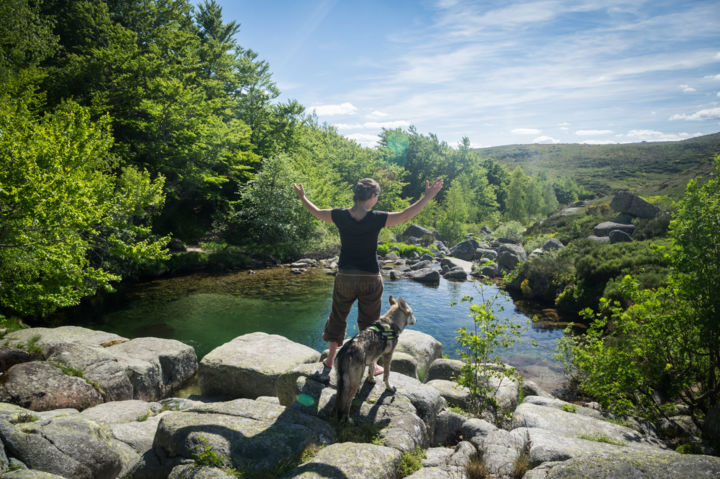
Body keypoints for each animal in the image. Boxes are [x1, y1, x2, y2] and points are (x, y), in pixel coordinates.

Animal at [332, 294, 416, 422]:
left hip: (341, 382)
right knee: (347, 402)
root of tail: (346, 352)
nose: (416, 319)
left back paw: (334, 415)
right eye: (411, 313)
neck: (391, 322)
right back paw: (348, 419)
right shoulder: (388, 355)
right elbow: (386, 375)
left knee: (338, 400)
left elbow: (372, 368)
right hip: (355, 381)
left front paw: (371, 379)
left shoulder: (374, 356)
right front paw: (389, 388)